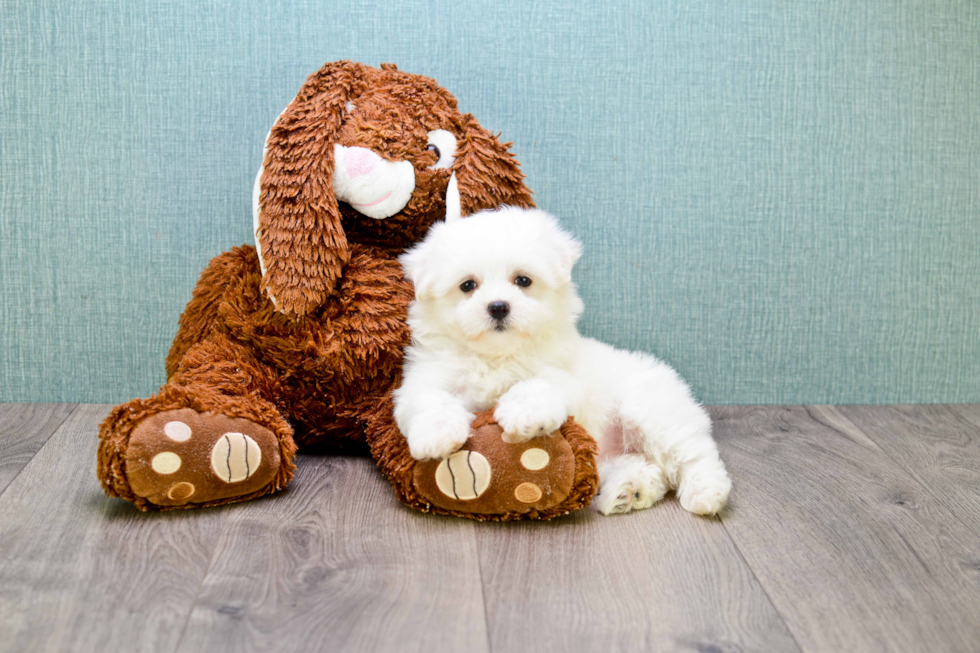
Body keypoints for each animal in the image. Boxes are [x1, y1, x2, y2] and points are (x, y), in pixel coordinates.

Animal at [394, 208, 732, 516]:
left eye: (523, 280)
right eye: (467, 285)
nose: (499, 306)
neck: (498, 356)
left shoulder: (563, 373)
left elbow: (539, 385)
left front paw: (523, 414)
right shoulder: (425, 376)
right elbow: (429, 399)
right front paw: (436, 435)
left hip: (654, 412)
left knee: (694, 454)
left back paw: (705, 492)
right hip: (607, 455)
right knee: (647, 469)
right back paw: (628, 491)